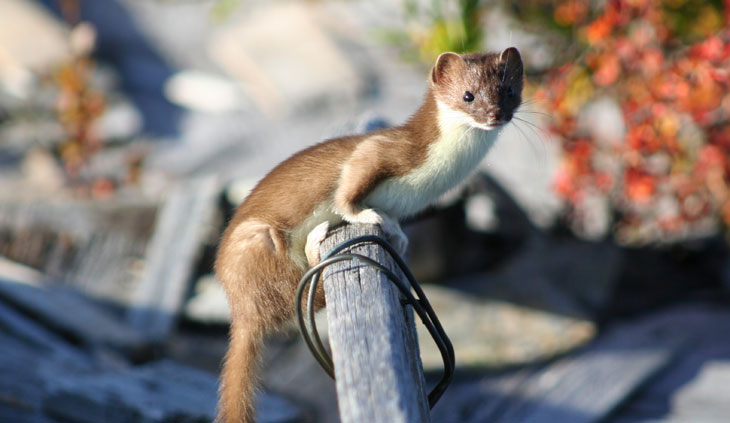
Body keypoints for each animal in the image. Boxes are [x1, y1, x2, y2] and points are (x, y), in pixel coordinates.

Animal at [213, 48, 520, 422]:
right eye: (468, 95)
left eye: (508, 90)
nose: (495, 115)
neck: (431, 182)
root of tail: (238, 305)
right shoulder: (376, 152)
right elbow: (347, 191)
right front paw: (366, 214)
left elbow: (394, 220)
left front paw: (397, 234)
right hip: (258, 240)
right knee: (301, 292)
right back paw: (316, 239)